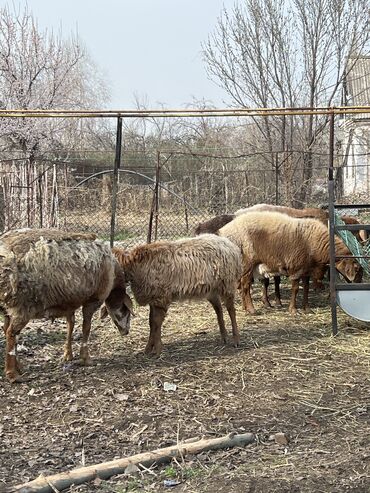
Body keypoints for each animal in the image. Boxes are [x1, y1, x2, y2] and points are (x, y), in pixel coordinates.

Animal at [0, 229, 133, 382]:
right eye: (126, 310)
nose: (126, 332)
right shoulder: (94, 299)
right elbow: (86, 327)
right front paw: (85, 358)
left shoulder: (70, 302)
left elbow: (71, 325)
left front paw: (68, 355)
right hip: (22, 306)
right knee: (11, 333)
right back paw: (13, 374)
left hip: (6, 307)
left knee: (6, 329)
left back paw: (19, 367)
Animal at [112, 233, 243, 356]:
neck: (134, 266)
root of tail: (230, 245)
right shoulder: (153, 298)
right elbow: (151, 323)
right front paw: (148, 349)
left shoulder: (161, 298)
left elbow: (156, 323)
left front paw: (157, 349)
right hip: (211, 289)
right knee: (218, 308)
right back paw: (224, 337)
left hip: (227, 283)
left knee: (231, 310)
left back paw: (236, 340)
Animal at [218, 210, 360, 314]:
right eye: (357, 269)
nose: (357, 284)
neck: (316, 244)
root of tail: (224, 231)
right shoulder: (296, 268)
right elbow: (295, 289)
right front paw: (293, 309)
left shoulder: (306, 270)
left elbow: (306, 288)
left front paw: (307, 308)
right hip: (247, 262)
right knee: (246, 285)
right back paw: (251, 309)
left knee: (241, 285)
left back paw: (245, 308)